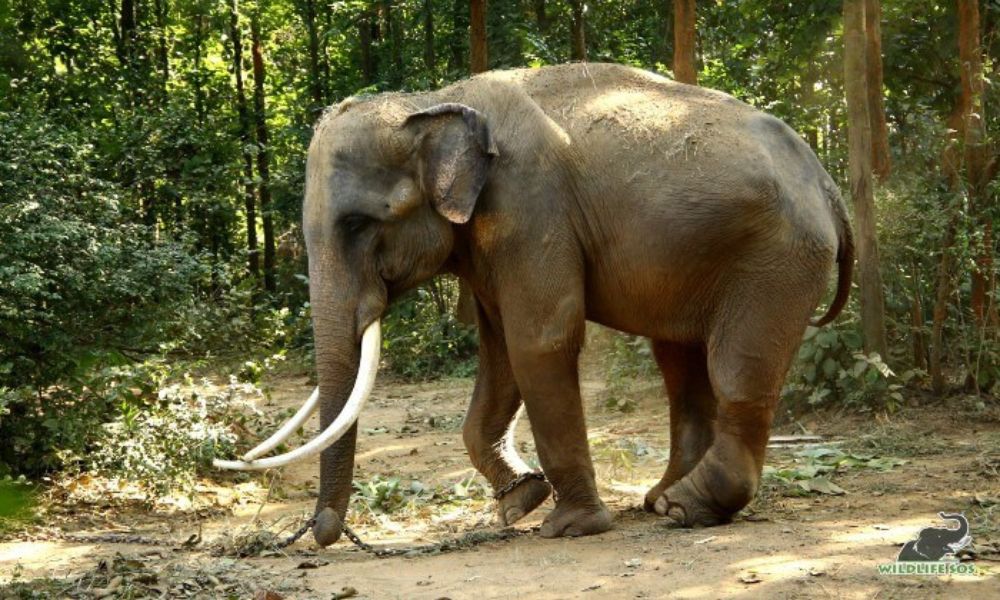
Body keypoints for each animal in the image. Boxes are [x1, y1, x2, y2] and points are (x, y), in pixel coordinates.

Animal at [214, 63, 853, 548]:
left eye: (355, 224)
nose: (321, 535)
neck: (434, 101)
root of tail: (827, 183)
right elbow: (499, 351)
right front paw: (522, 500)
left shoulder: (529, 207)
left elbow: (538, 340)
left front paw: (570, 527)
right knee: (681, 367)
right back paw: (661, 501)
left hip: (778, 259)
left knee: (738, 374)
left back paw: (684, 508)